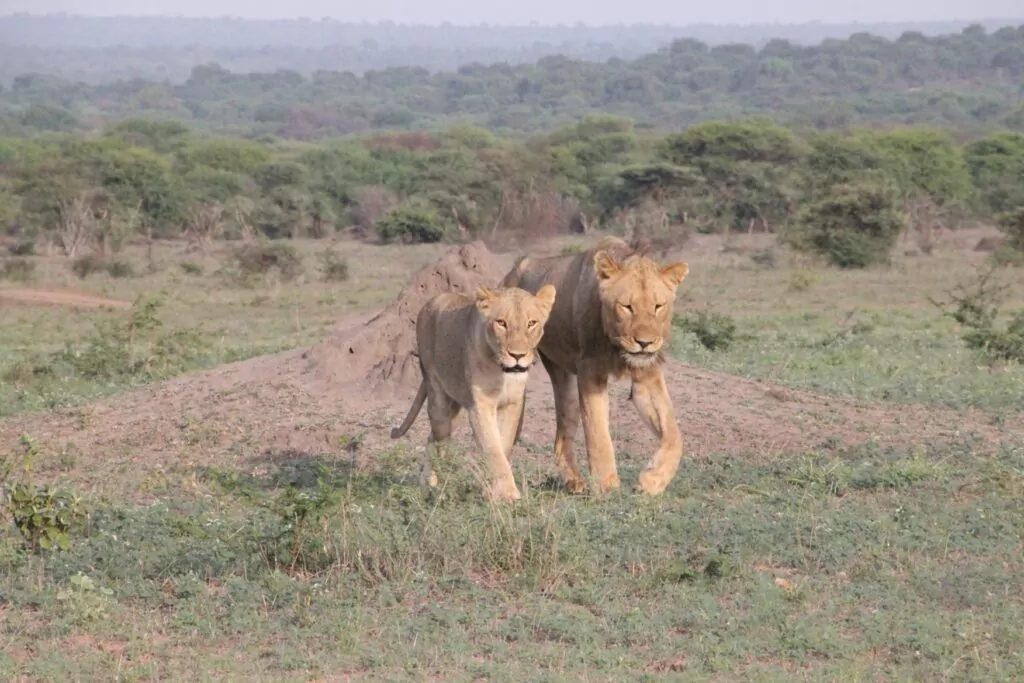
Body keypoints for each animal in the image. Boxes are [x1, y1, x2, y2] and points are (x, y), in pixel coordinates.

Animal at [390, 284, 557, 501]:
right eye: (501, 323)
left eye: (531, 323)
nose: (517, 355)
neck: (502, 372)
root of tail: (431, 301)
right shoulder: (481, 405)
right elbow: (493, 447)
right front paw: (507, 494)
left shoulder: (512, 404)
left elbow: (503, 445)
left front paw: (492, 491)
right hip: (439, 400)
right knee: (438, 438)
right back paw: (431, 486)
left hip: (457, 409)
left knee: (432, 437)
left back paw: (428, 483)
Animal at [501, 236, 689, 496]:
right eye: (627, 307)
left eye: (658, 306)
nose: (645, 342)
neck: (617, 345)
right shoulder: (590, 370)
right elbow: (597, 431)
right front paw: (606, 484)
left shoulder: (647, 374)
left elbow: (673, 434)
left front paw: (653, 481)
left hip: (565, 385)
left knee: (561, 438)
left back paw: (574, 483)